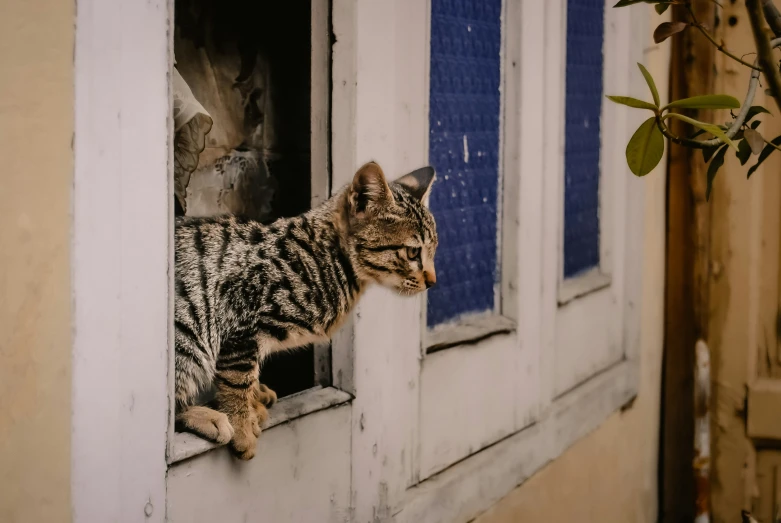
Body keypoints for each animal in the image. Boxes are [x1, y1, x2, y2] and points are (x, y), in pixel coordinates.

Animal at [173, 162, 436, 460]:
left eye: (434, 249)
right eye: (413, 253)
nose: (432, 280)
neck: (325, 258)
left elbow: (248, 374)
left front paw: (254, 399)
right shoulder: (240, 316)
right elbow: (237, 377)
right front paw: (242, 425)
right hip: (186, 339)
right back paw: (208, 417)